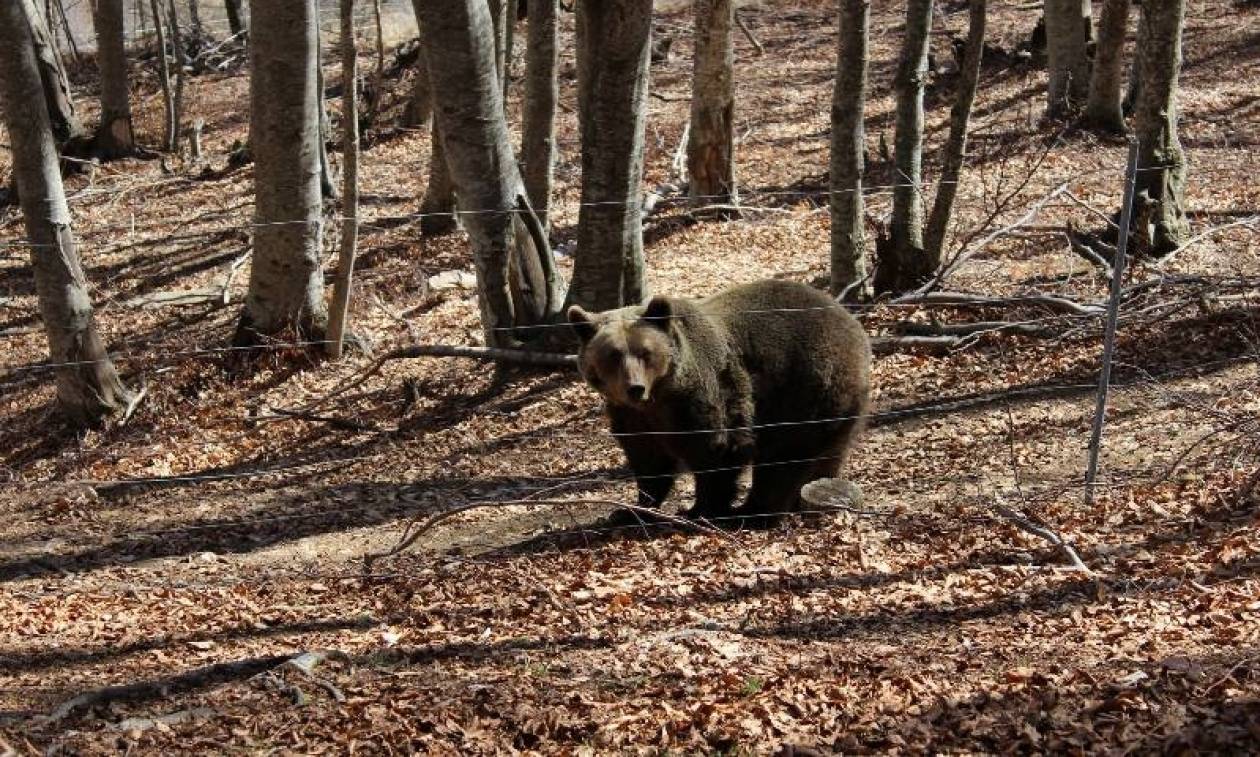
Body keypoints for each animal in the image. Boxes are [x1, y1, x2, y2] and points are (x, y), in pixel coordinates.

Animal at [569, 278, 871, 526]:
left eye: (645, 352)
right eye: (613, 355)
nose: (635, 388)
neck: (660, 398)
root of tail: (852, 323)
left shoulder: (705, 396)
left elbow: (717, 450)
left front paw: (699, 510)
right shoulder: (633, 417)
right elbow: (649, 461)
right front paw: (631, 510)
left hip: (805, 389)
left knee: (783, 457)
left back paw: (754, 512)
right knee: (827, 453)